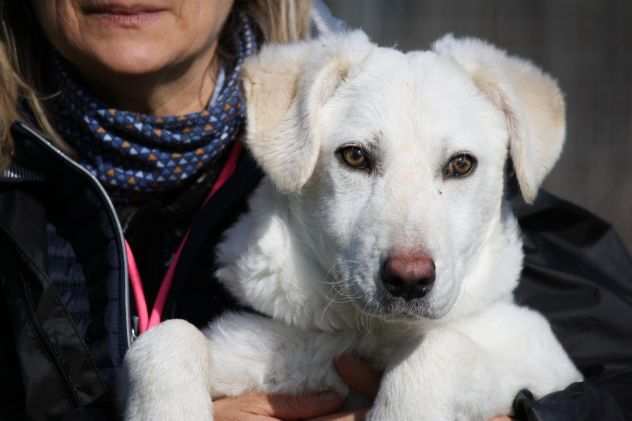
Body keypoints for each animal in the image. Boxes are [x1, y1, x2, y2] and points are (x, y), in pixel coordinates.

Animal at [123, 32, 584, 420]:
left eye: (461, 165)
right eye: (355, 157)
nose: (409, 280)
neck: (368, 332)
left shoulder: (539, 354)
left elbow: (440, 345)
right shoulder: (253, 349)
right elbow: (167, 337)